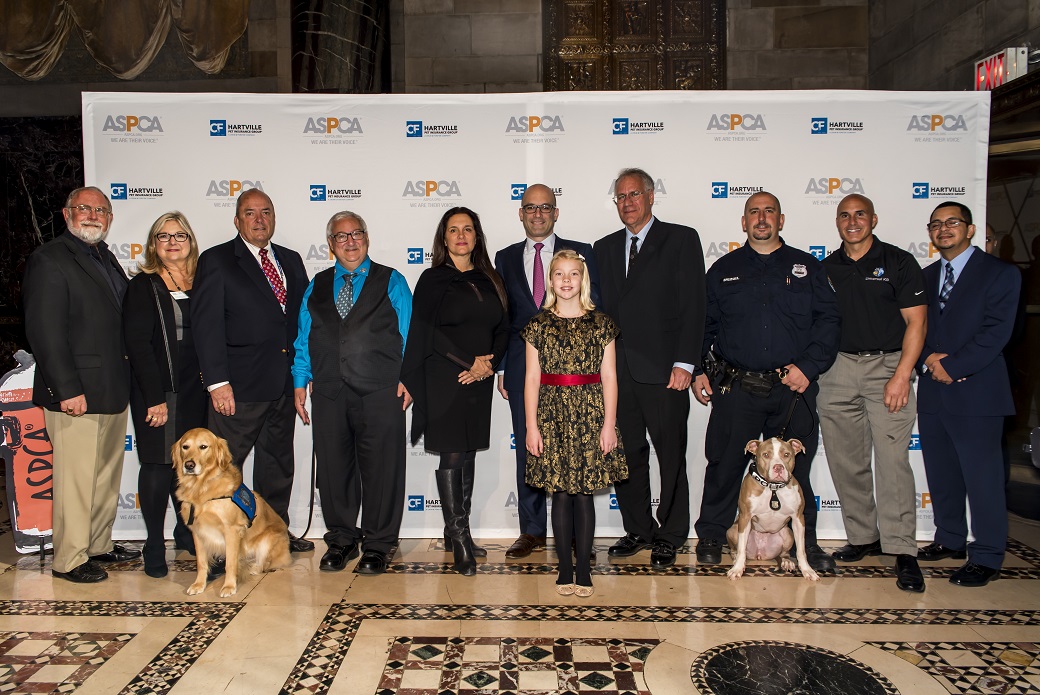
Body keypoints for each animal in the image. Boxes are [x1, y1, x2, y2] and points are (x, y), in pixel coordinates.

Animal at [728, 439, 815, 582]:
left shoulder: (798, 519)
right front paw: (737, 569)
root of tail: (760, 555)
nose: (778, 467)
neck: (773, 488)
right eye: (766, 455)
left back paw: (786, 561)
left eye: (786, 454)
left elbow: (801, 550)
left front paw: (807, 570)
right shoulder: (745, 517)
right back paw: (736, 560)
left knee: (783, 553)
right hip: (733, 530)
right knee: (736, 549)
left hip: (788, 533)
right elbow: (741, 549)